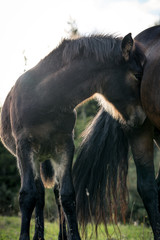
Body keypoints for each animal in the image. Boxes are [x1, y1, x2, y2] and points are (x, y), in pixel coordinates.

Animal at [0, 33, 145, 240]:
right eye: (138, 75)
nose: (142, 117)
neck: (45, 99)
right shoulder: (24, 148)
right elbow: (27, 196)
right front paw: (25, 237)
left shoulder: (65, 146)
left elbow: (67, 196)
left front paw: (73, 236)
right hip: (32, 157)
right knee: (39, 194)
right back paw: (38, 236)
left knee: (55, 192)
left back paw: (60, 235)